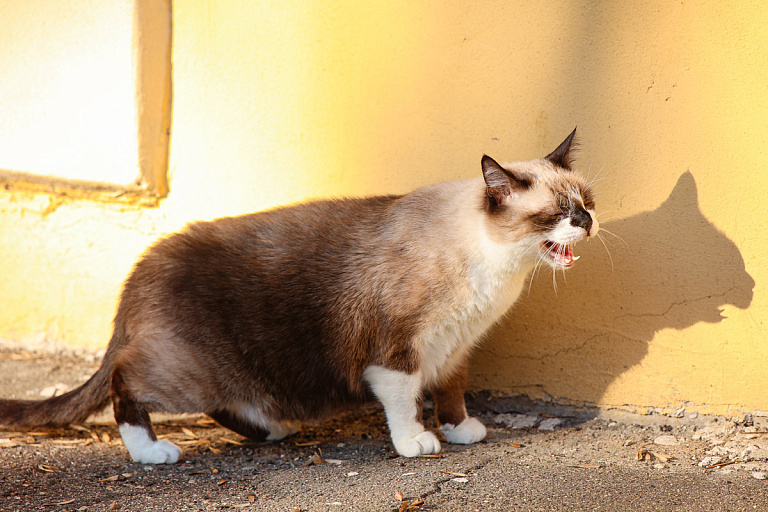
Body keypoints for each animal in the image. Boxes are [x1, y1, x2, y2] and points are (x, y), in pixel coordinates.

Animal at [0, 129, 600, 464]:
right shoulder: (397, 353)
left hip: (231, 373)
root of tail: (143, 265)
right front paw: (417, 443)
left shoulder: (455, 348)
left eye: (587, 201)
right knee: (126, 382)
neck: (497, 272)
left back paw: (277, 427)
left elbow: (451, 395)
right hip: (188, 373)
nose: (588, 224)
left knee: (230, 402)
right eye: (556, 213)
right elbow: (407, 402)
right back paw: (152, 452)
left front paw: (458, 432)